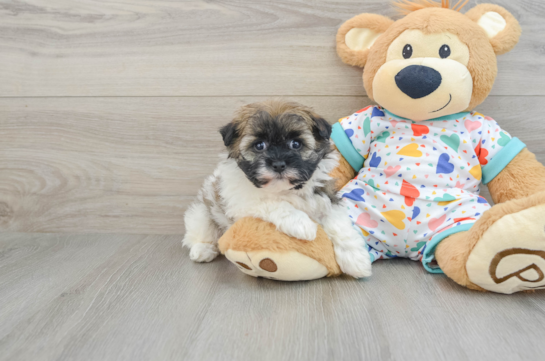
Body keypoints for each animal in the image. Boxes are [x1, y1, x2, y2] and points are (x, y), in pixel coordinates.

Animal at [182, 100, 370, 278]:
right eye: (259, 145)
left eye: (296, 144)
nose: (279, 164)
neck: (285, 189)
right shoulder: (242, 202)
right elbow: (273, 203)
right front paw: (303, 224)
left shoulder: (326, 196)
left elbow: (339, 225)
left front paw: (356, 260)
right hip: (202, 213)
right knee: (201, 231)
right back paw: (202, 250)